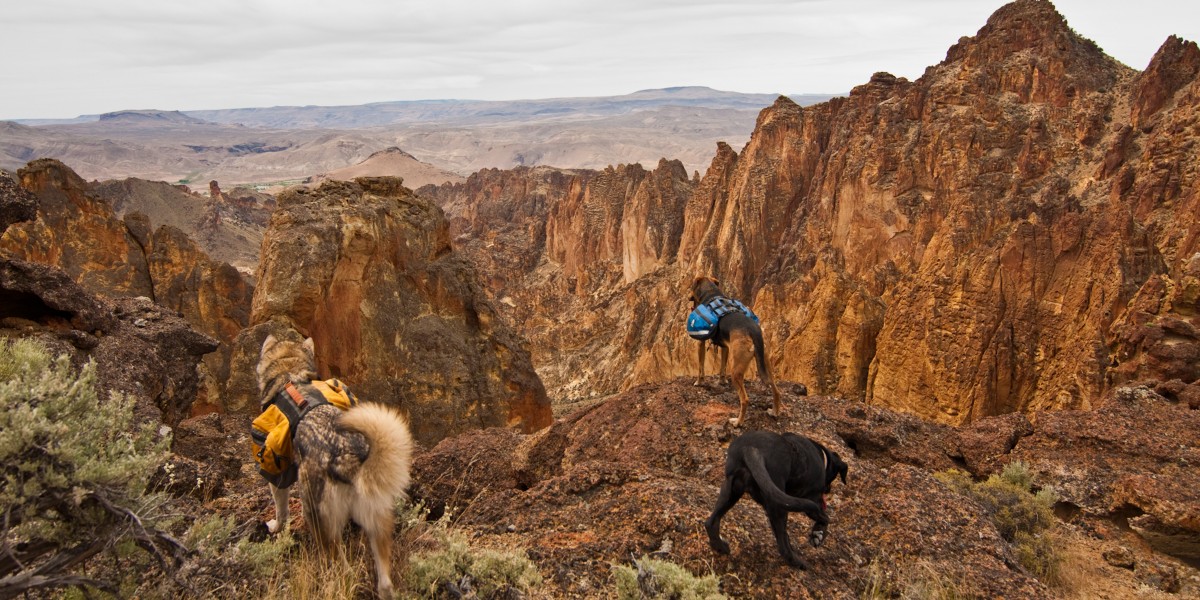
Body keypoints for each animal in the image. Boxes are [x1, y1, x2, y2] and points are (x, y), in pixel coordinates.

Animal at [257, 334, 413, 598]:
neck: (290, 372)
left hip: (318, 518)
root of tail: (347, 462)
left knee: (341, 568)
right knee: (384, 580)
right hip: (378, 519)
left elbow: (281, 510)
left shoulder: (277, 473)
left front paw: (275, 527)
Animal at [689, 275, 783, 426]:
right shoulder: (725, 347)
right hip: (766, 363)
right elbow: (722, 368)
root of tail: (753, 330)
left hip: (736, 369)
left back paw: (738, 422)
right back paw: (774, 412)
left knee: (745, 399)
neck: (711, 293)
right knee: (776, 391)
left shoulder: (701, 343)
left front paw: (699, 382)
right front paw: (722, 381)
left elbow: (700, 367)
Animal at [704, 430, 848, 568]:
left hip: (731, 491)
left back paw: (720, 546)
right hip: (779, 505)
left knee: (711, 522)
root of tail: (751, 450)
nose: (828, 489)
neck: (822, 457)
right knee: (783, 545)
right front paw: (818, 534)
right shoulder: (813, 500)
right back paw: (798, 563)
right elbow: (825, 519)